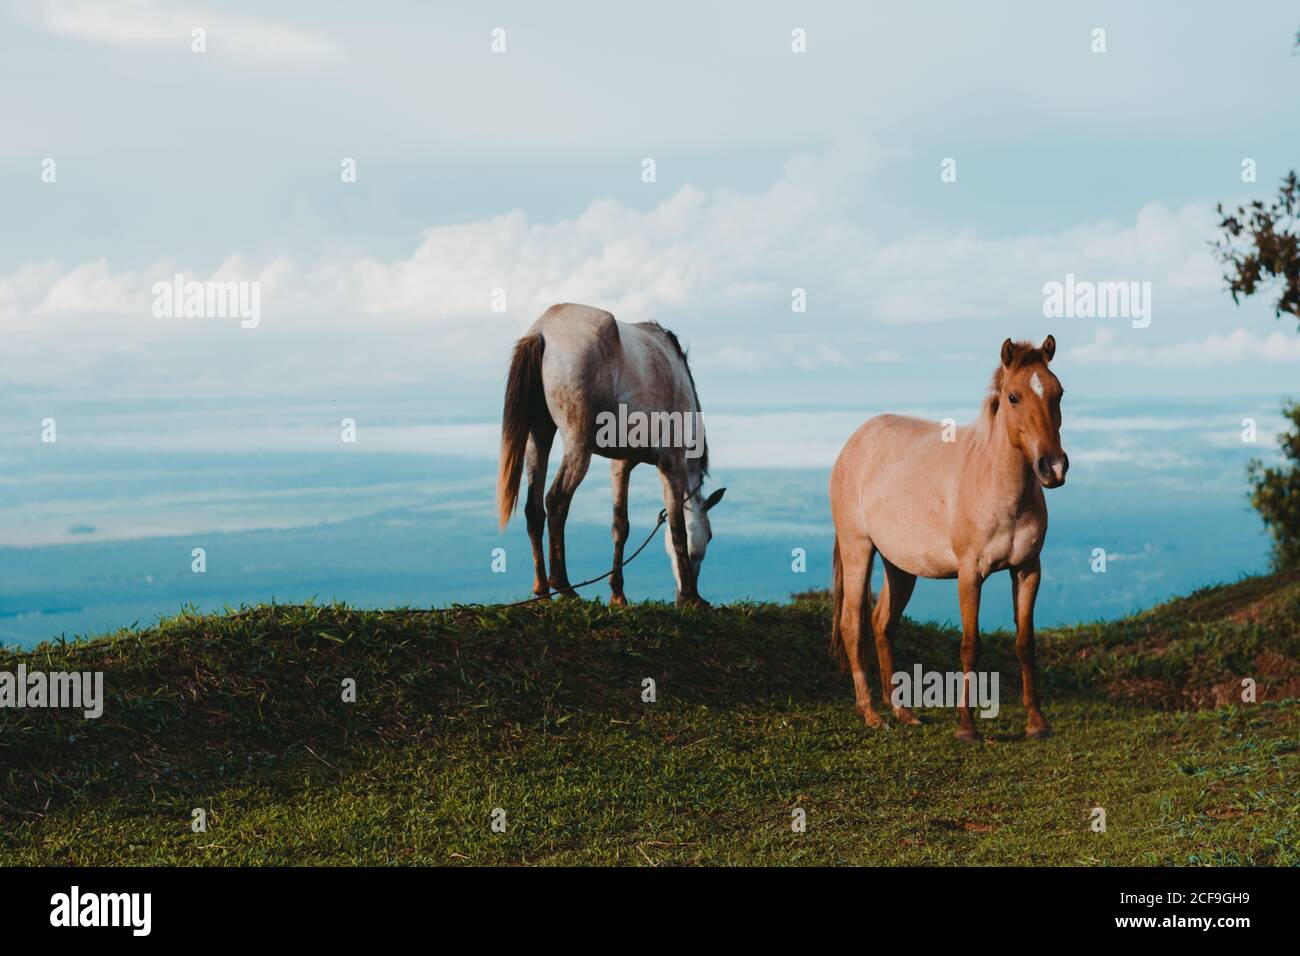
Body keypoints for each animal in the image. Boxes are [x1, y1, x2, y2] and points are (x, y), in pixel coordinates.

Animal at [496, 303, 725, 606]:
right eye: (709, 536)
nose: (678, 595)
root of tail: (542, 330)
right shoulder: (671, 464)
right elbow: (678, 527)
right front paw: (692, 596)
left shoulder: (621, 465)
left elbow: (620, 526)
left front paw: (618, 595)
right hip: (577, 445)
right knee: (556, 501)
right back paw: (564, 586)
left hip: (539, 437)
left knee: (534, 508)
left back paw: (543, 591)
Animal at [829, 335, 1068, 742]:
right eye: (1014, 397)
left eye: (1058, 392)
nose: (1052, 466)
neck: (996, 483)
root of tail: (855, 441)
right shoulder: (970, 574)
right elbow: (970, 646)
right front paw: (967, 728)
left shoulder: (1027, 569)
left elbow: (1025, 643)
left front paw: (1037, 723)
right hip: (857, 546)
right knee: (852, 624)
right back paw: (871, 714)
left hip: (899, 566)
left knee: (882, 624)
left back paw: (901, 710)